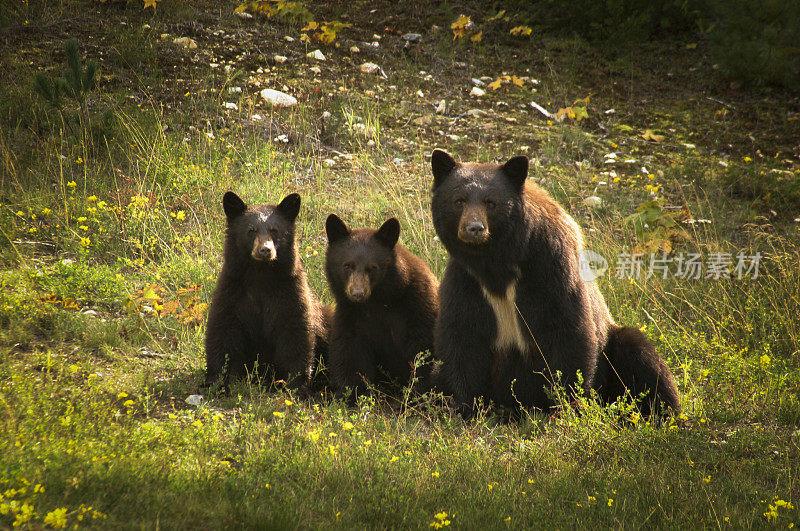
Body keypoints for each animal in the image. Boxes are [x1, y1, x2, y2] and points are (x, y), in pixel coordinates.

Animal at [206, 192, 334, 390]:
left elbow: (295, 334)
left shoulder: (290, 293)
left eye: (275, 230)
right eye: (251, 230)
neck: (261, 275)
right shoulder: (232, 291)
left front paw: (295, 384)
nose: (265, 250)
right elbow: (222, 330)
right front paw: (216, 382)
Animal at [324, 214, 438, 396]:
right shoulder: (350, 314)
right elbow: (349, 354)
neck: (377, 301)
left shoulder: (419, 306)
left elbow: (421, 350)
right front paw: (352, 393)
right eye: (347, 265)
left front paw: (417, 392)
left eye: (372, 268)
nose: (357, 293)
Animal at [428, 151, 680, 420]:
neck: (497, 265)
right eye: (459, 201)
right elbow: (461, 337)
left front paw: (565, 407)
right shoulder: (467, 281)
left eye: (490, 202)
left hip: (614, 346)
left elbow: (568, 333)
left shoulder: (552, 270)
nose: (474, 228)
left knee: (644, 360)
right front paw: (463, 406)